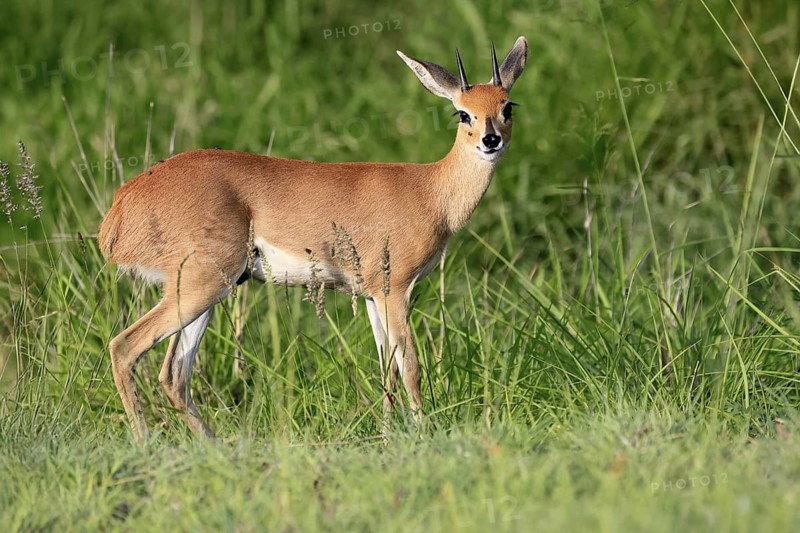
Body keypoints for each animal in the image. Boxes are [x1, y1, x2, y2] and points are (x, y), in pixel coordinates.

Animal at [98, 37, 528, 442]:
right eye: (463, 112)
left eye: (507, 106)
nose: (491, 140)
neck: (432, 191)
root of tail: (121, 208)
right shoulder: (395, 290)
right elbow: (410, 368)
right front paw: (422, 436)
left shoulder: (372, 296)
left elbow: (386, 371)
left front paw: (388, 438)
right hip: (198, 287)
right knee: (124, 348)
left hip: (207, 290)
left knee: (174, 374)